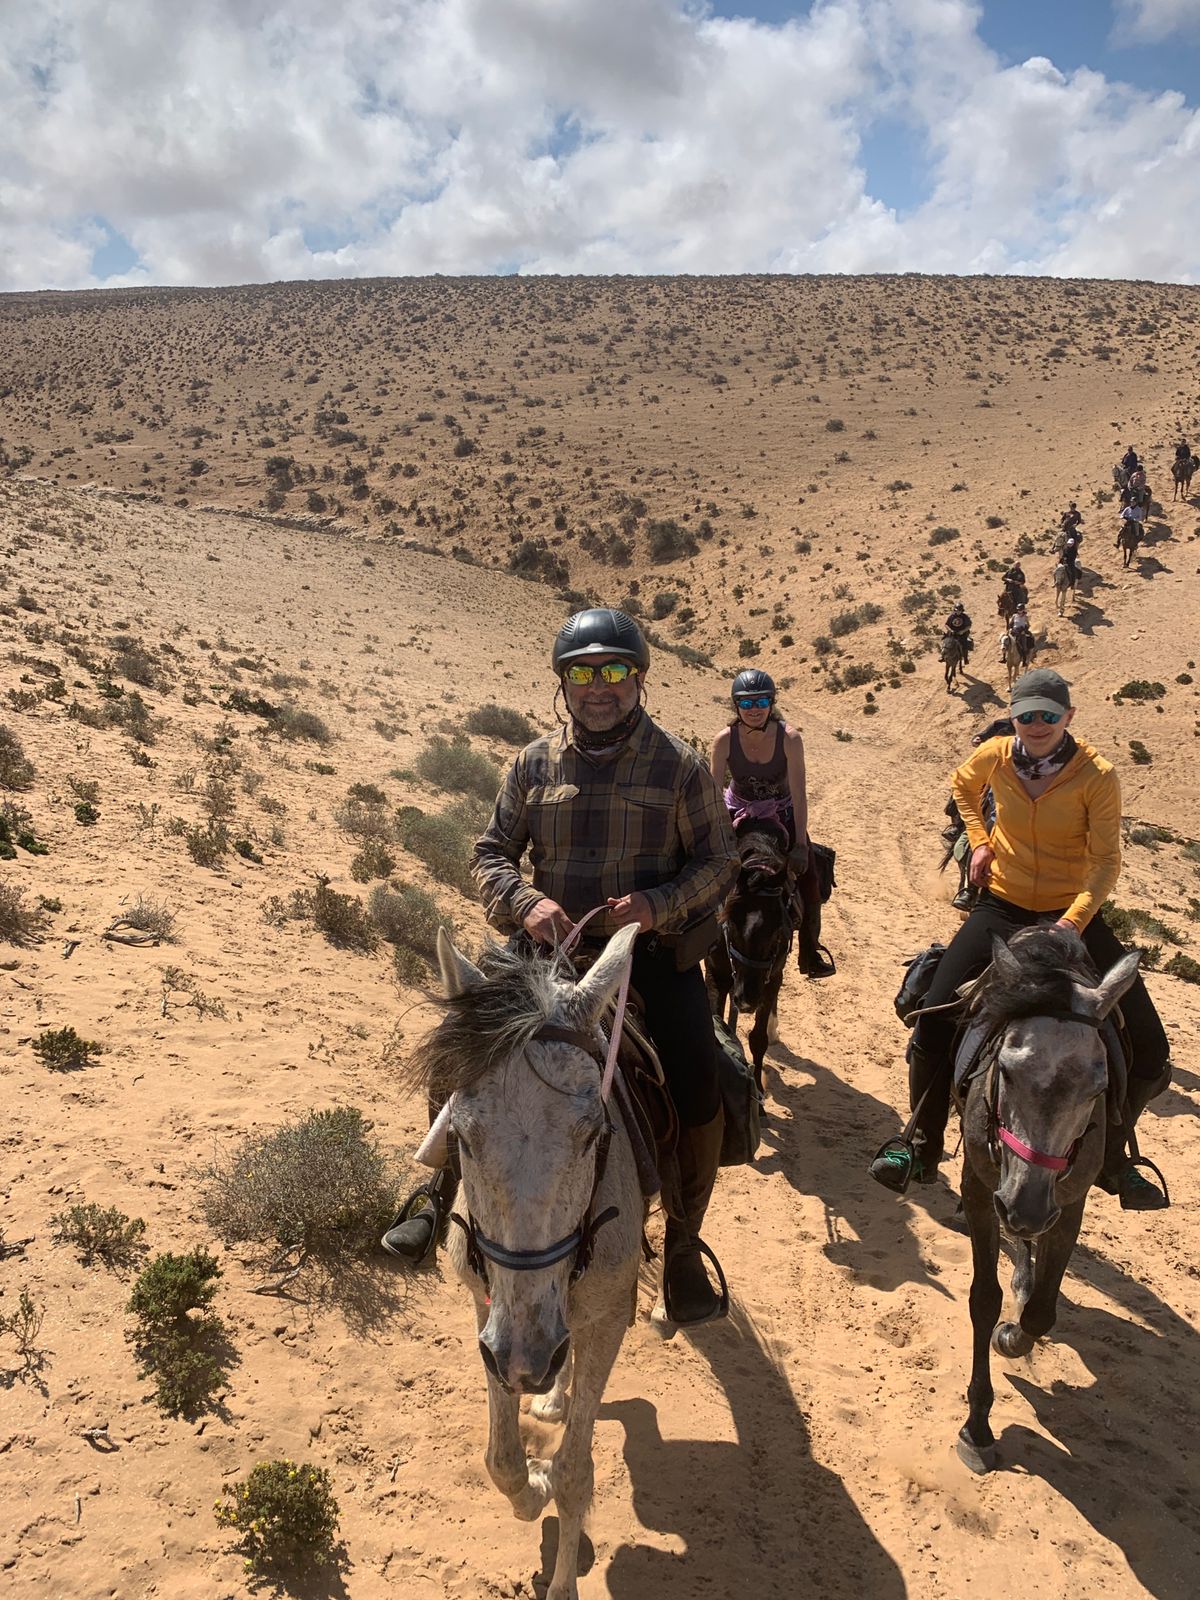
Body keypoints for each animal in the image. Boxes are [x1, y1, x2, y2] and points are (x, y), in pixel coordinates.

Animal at [419, 928, 649, 1600]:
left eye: (593, 1133)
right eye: (461, 1136)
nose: (528, 1361)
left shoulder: (605, 1320)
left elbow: (574, 1473)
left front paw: (562, 1575)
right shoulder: (488, 1315)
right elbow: (500, 1460)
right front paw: (532, 1486)